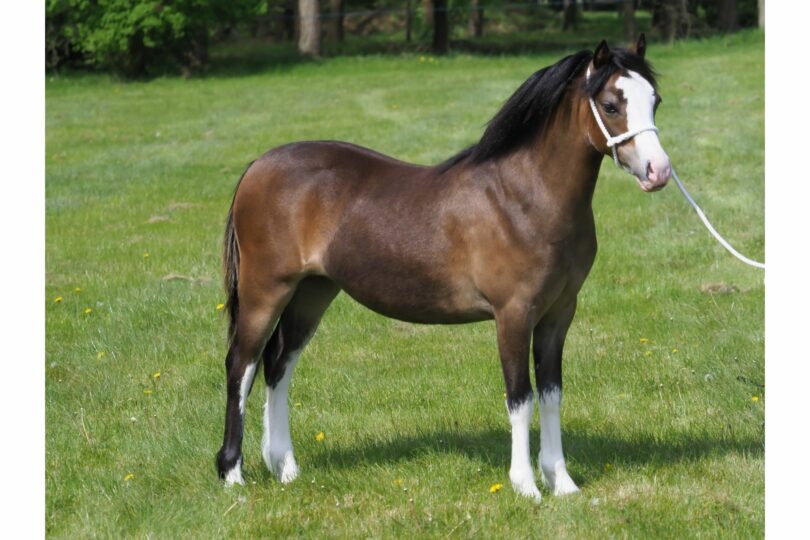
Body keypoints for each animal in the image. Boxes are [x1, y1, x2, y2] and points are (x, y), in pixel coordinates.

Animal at [215, 35, 672, 501]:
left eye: (654, 100)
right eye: (611, 104)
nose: (659, 171)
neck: (524, 196)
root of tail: (258, 166)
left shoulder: (558, 315)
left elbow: (551, 394)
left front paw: (562, 482)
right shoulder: (513, 314)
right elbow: (520, 398)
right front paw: (525, 485)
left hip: (312, 292)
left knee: (278, 365)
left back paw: (285, 467)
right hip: (265, 291)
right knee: (241, 365)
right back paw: (232, 473)